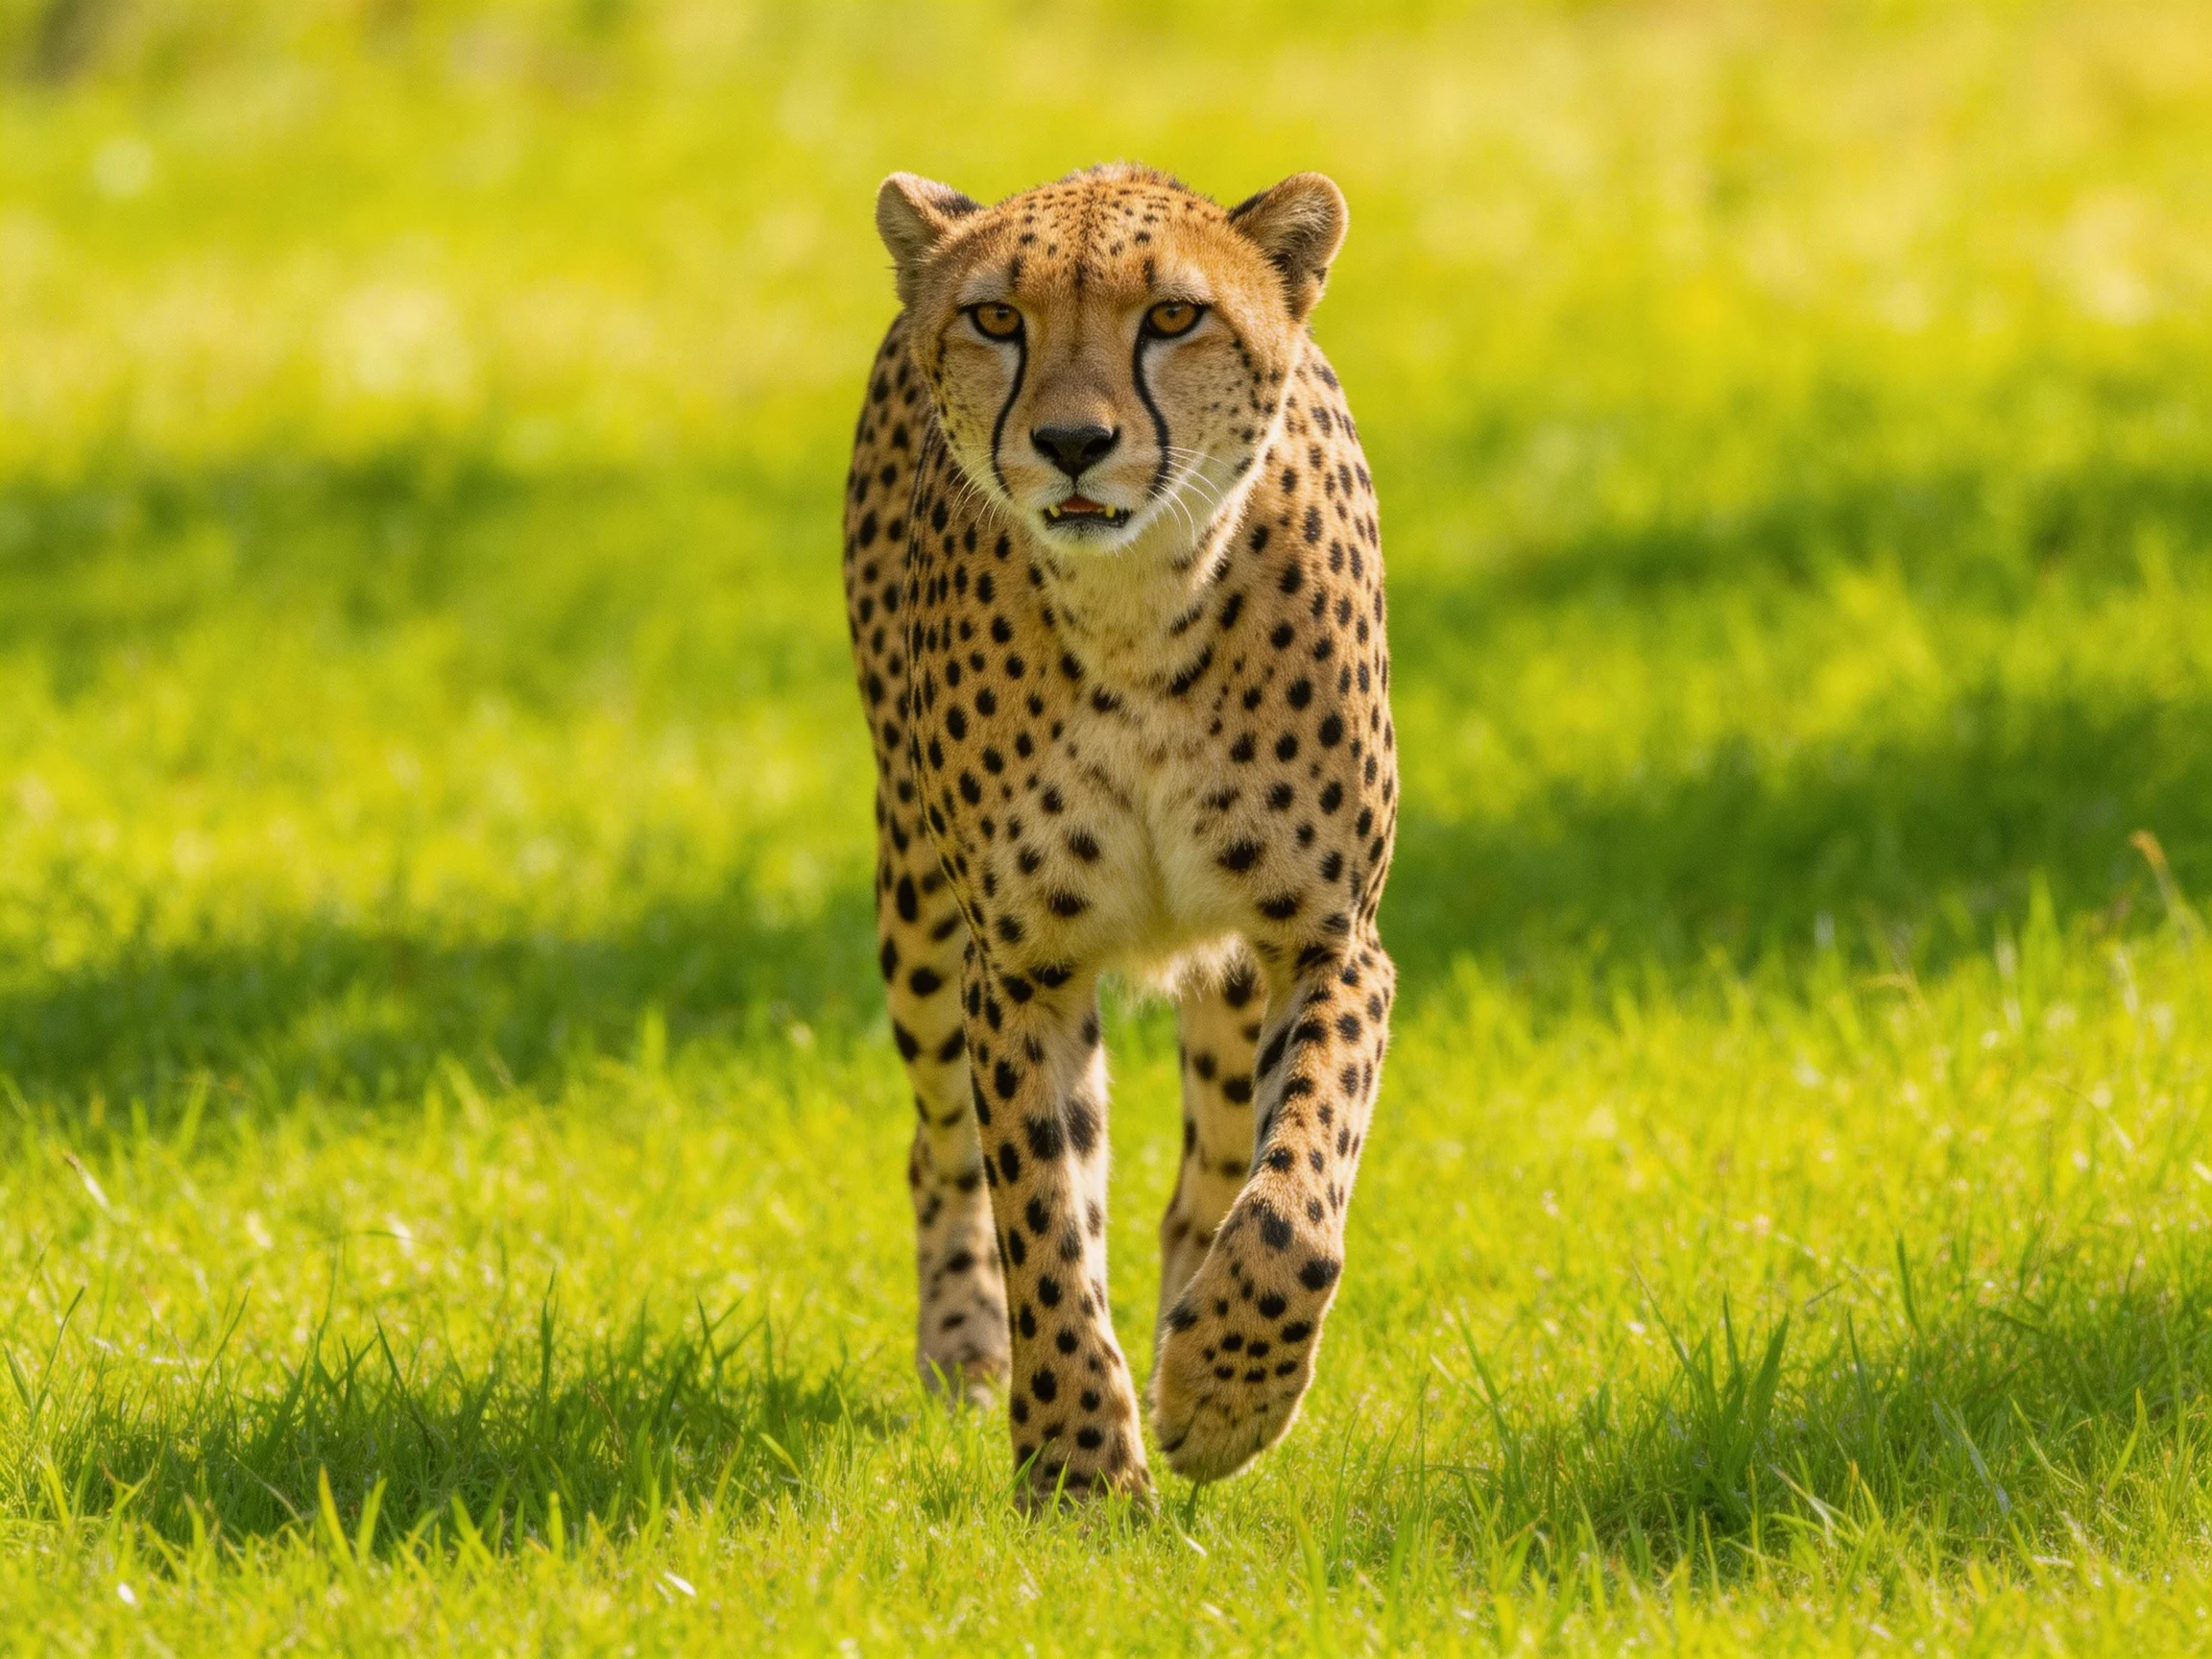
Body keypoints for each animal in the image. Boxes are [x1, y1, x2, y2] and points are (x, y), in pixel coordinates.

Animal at [840, 162, 1396, 1505]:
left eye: (1175, 317)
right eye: (998, 319)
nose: (1073, 444)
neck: (1139, 607)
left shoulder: (1326, 938)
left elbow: (1298, 1191)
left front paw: (1226, 1391)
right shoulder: (1020, 967)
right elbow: (1042, 1214)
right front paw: (1078, 1471)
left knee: (1212, 1173)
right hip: (918, 911)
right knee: (942, 1152)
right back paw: (966, 1351)